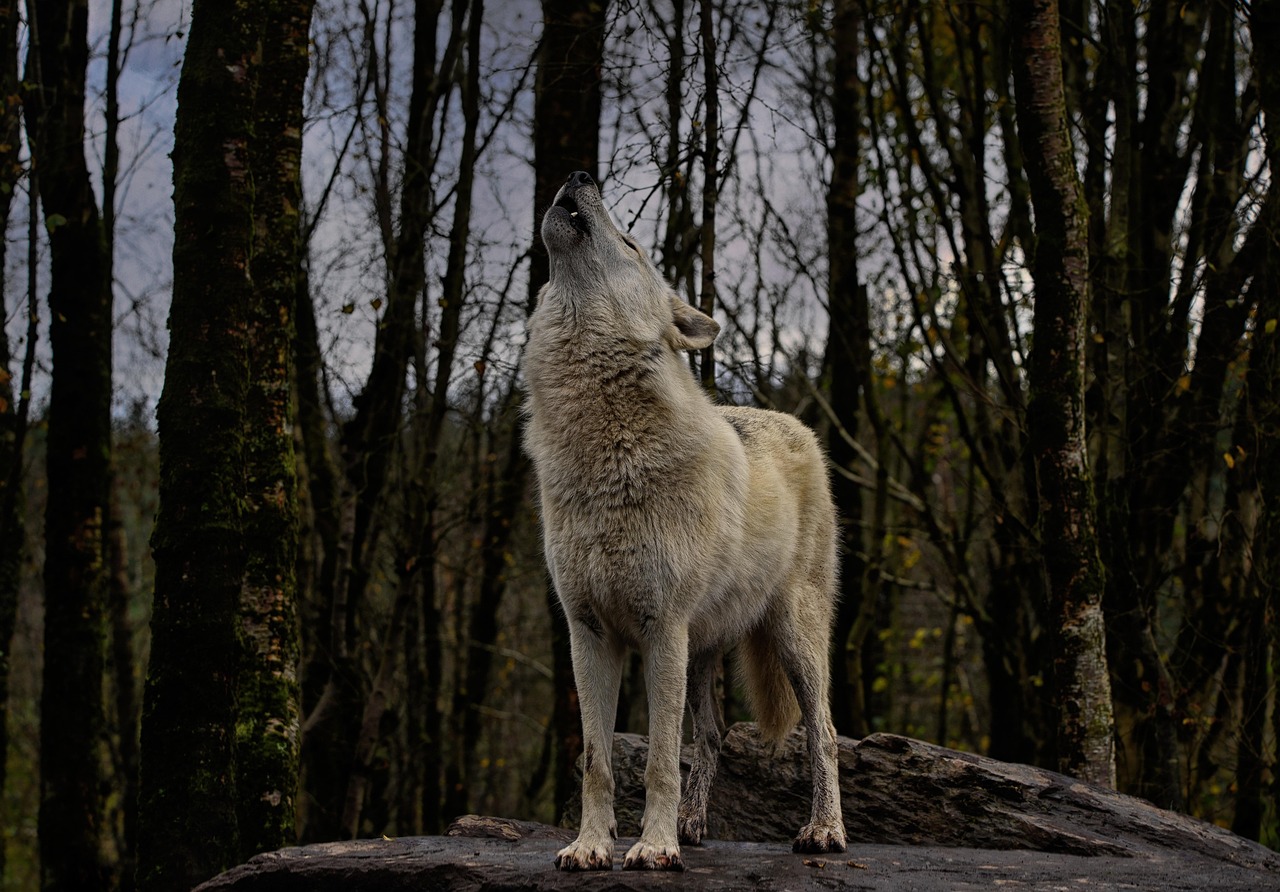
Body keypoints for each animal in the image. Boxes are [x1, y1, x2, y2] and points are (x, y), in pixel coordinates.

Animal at [523, 170, 846, 871]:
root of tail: (797, 424)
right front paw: (591, 847)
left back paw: (824, 831)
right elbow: (597, 760)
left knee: (824, 733)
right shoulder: (588, 634)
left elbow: (660, 762)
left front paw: (653, 847)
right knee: (714, 734)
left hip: (793, 637)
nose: (580, 175)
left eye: (631, 243)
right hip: (703, 652)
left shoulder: (660, 629)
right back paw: (696, 823)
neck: (606, 453)